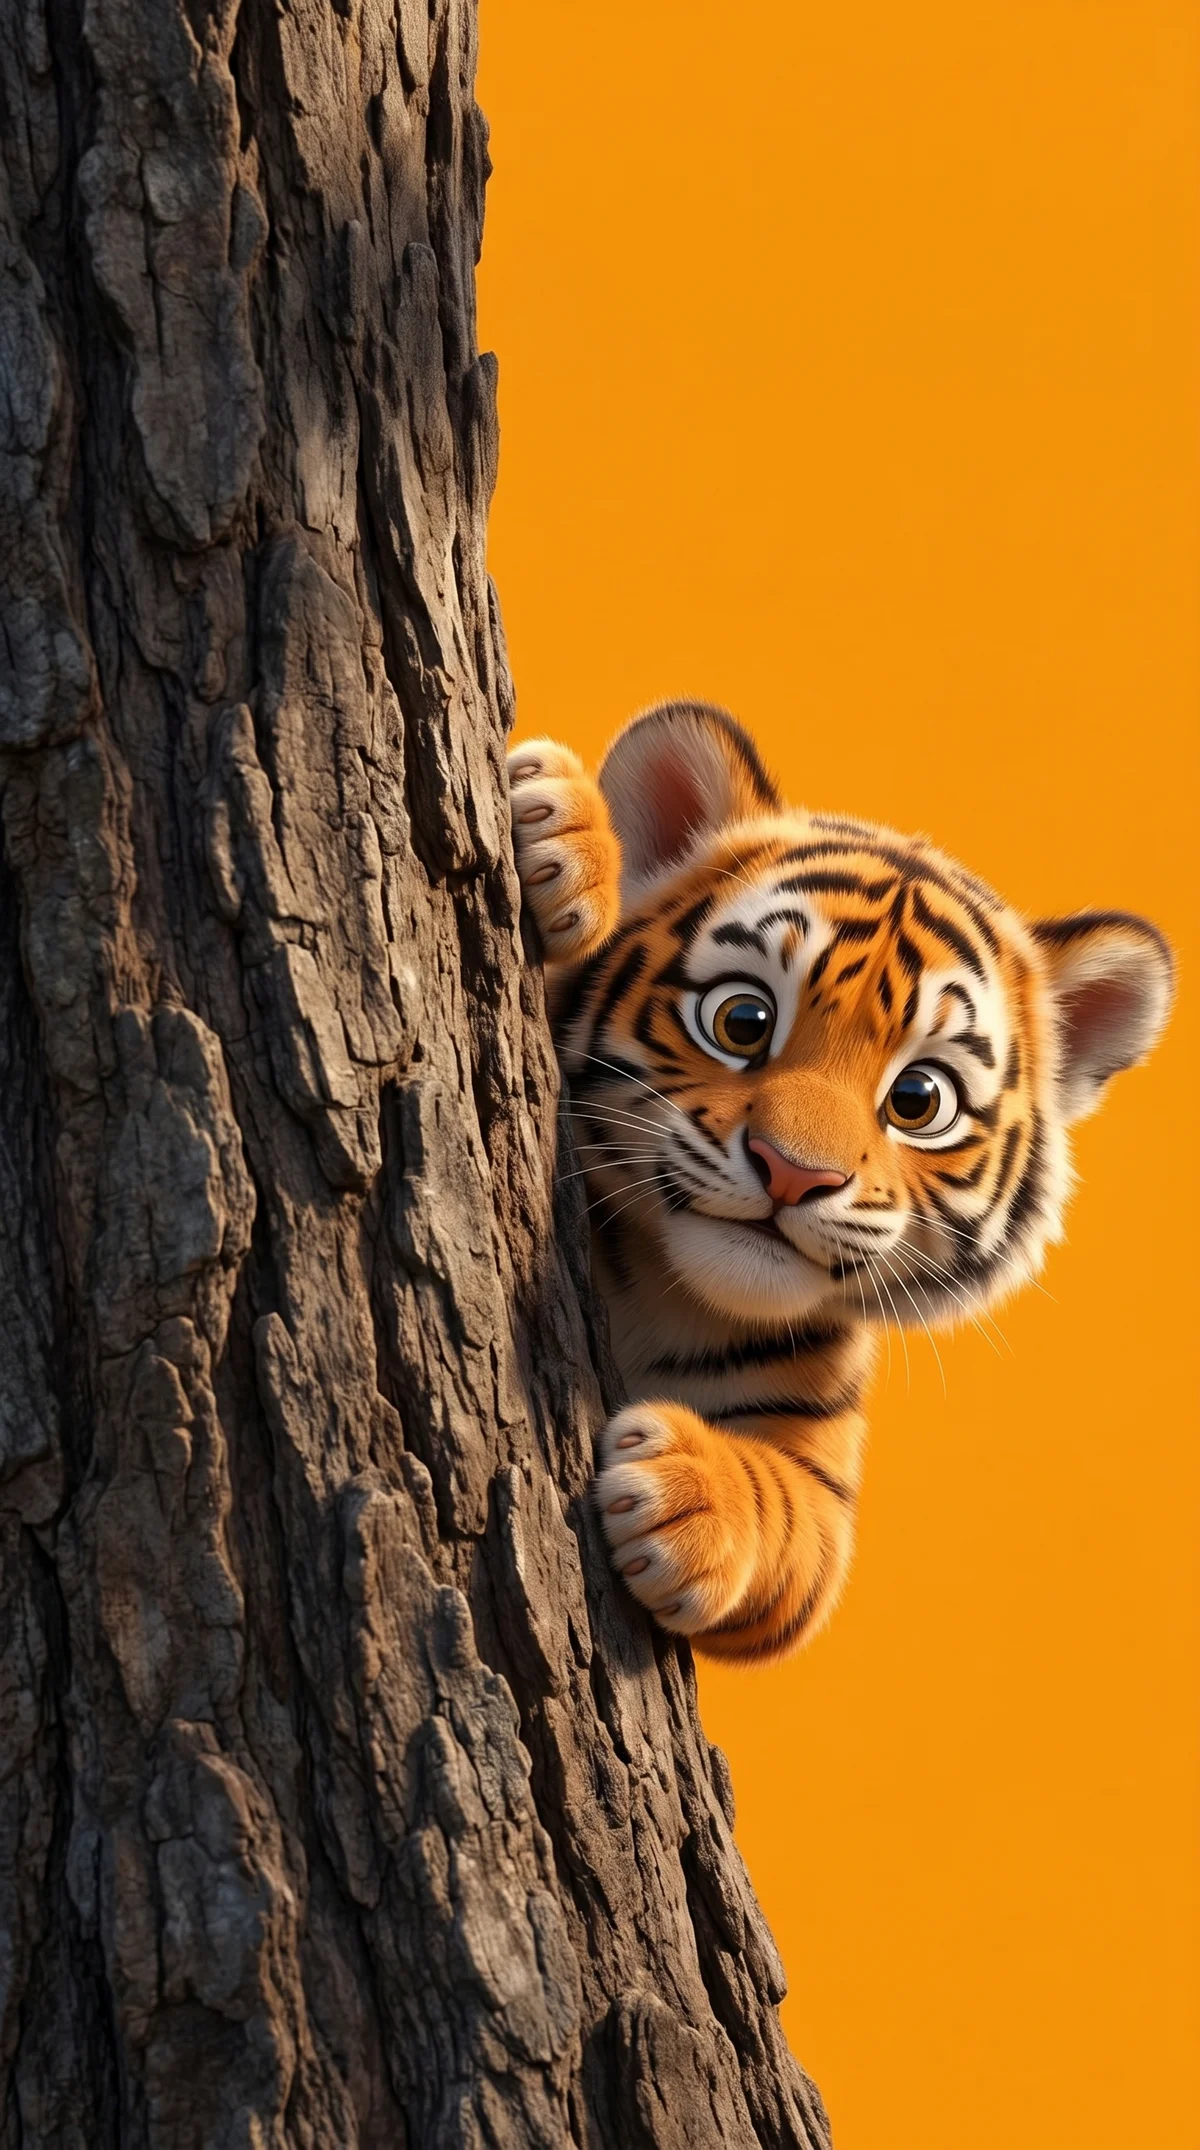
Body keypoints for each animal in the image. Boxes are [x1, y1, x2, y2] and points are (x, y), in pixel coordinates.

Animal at [507, 701, 1174, 1662]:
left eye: (919, 1100)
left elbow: (789, 1525)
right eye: (742, 1022)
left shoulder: (818, 1473)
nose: (794, 1172)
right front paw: (559, 822)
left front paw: (685, 1500)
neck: (662, 1292)